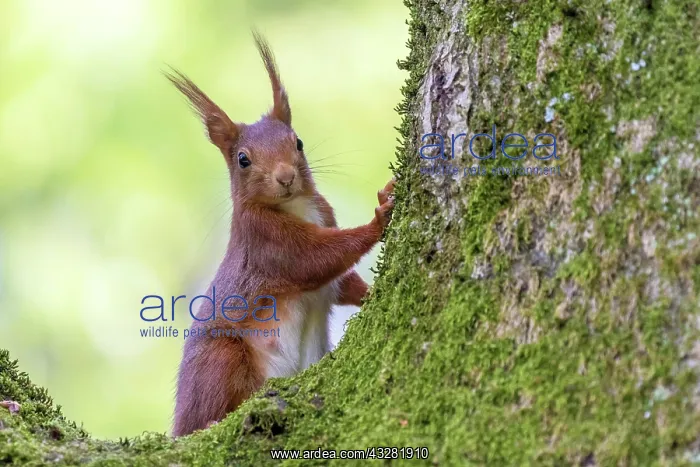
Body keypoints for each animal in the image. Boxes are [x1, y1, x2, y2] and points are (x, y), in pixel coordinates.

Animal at [166, 32, 395, 437]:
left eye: (298, 142)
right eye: (242, 159)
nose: (286, 176)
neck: (294, 205)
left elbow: (341, 282)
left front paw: (369, 293)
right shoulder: (268, 244)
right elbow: (317, 259)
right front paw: (379, 217)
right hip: (221, 359)